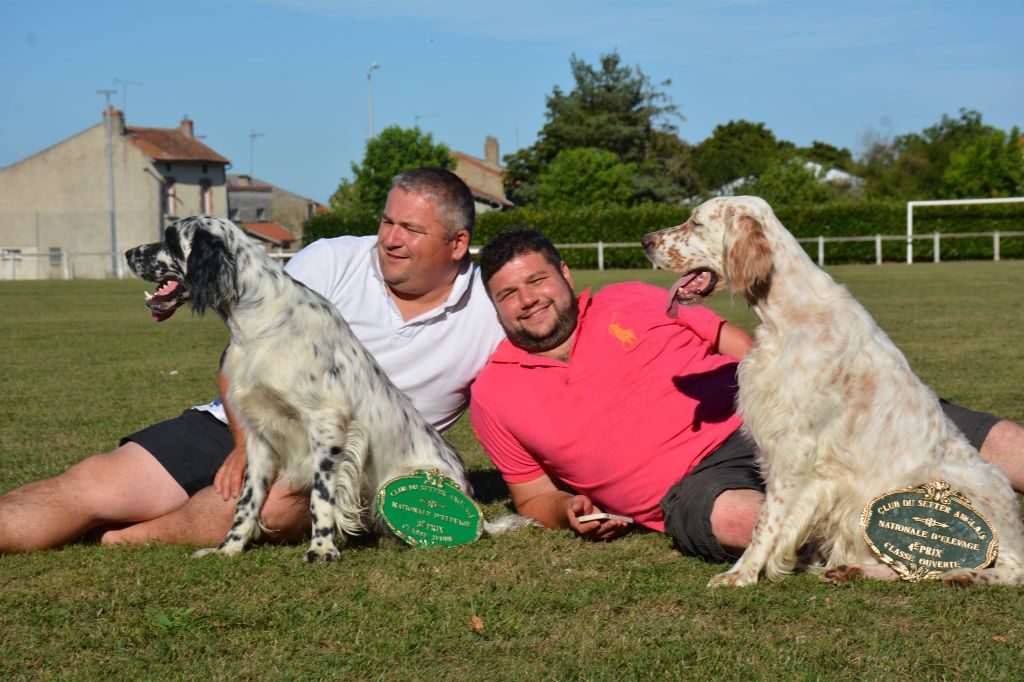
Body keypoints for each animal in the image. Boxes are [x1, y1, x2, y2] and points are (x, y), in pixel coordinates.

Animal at [125, 215, 528, 561]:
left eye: (170, 239)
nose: (129, 253)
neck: (258, 321)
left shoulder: (327, 422)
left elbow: (321, 497)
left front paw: (322, 549)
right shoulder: (260, 435)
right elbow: (247, 501)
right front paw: (229, 548)